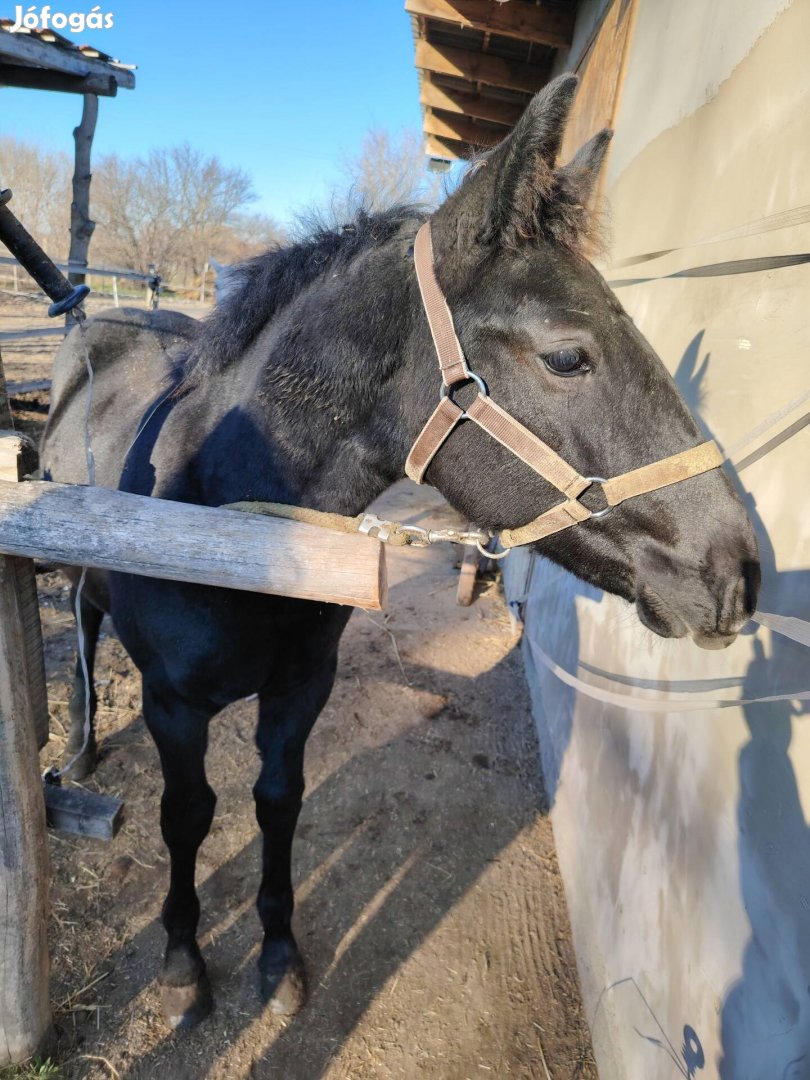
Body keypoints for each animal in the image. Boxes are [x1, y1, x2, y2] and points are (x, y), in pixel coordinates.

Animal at [39, 78, 760, 1028]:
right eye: (569, 356)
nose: (741, 572)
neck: (229, 523)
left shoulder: (302, 689)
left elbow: (278, 804)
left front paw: (280, 957)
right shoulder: (172, 704)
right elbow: (188, 816)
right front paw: (185, 960)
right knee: (83, 620)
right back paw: (82, 745)